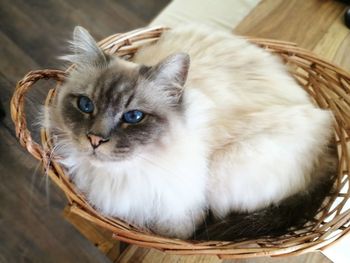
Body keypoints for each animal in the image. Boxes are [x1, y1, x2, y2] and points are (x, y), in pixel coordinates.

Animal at [43, 25, 336, 241]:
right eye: (86, 105)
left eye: (133, 117)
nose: (94, 139)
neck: (124, 173)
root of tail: (328, 149)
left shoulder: (179, 214)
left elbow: (177, 232)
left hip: (224, 170)